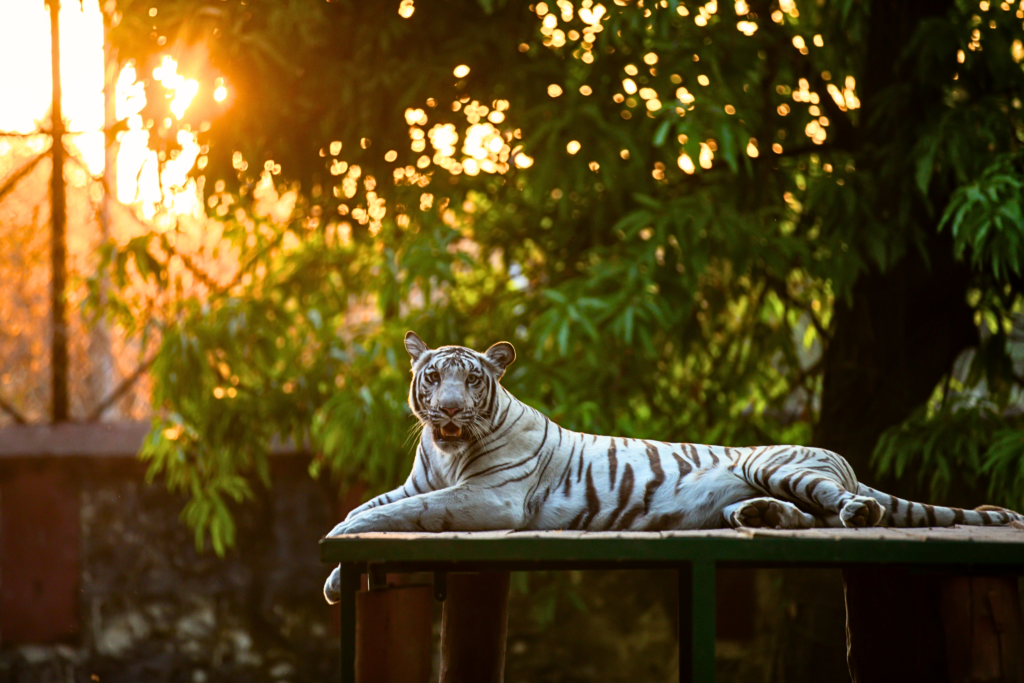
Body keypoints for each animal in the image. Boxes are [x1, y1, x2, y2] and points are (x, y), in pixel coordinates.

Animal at [323, 331, 1024, 603]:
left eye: (471, 380)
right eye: (432, 377)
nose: (447, 409)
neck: (446, 450)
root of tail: (837, 458)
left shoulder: (489, 499)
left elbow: (403, 512)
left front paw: (341, 546)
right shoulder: (416, 482)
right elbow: (372, 504)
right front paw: (335, 576)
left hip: (783, 464)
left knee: (841, 504)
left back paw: (853, 508)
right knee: (805, 517)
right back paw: (759, 515)